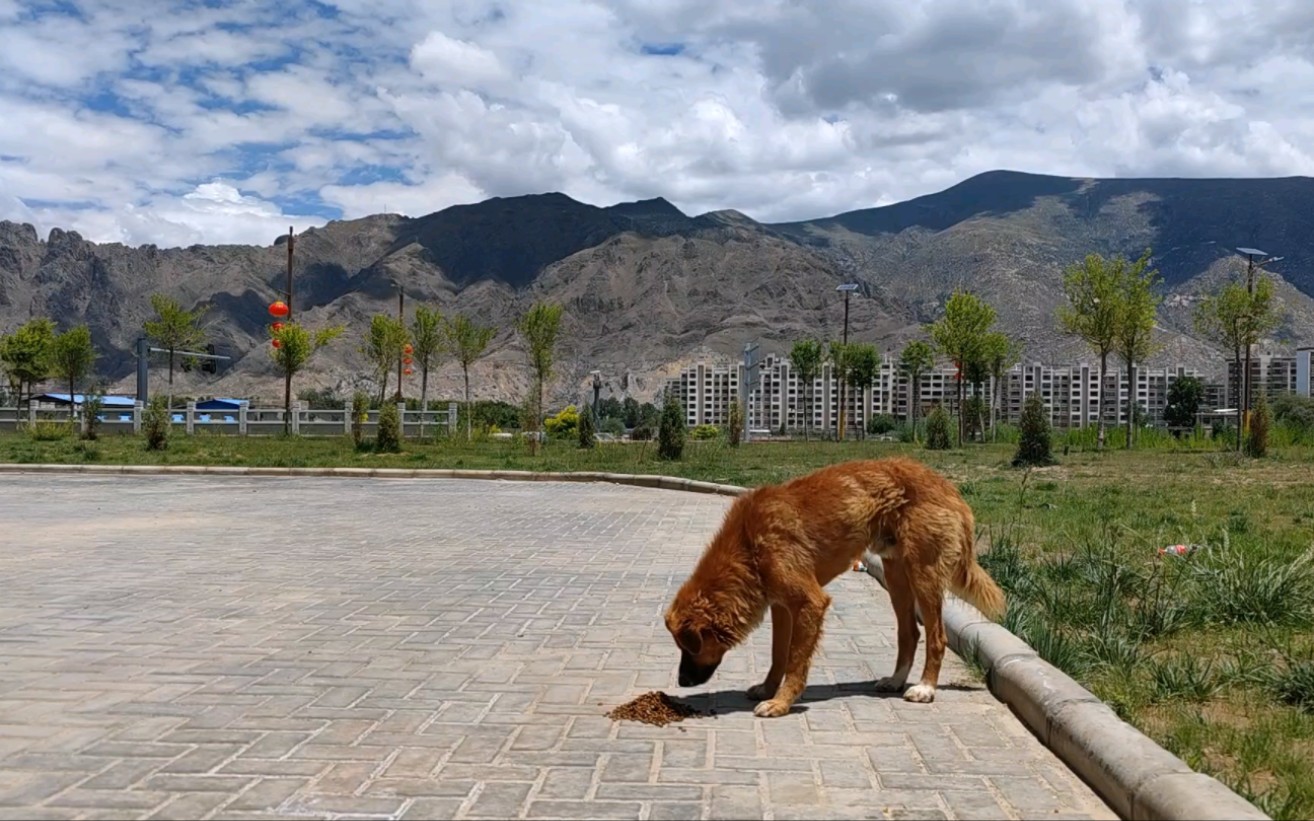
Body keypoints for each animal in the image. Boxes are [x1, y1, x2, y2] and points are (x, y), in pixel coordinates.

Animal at [667, 457, 1003, 714]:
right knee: (910, 633)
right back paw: (896, 680)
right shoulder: (782, 606)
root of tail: (946, 484)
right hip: (897, 579)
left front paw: (781, 703)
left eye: (688, 646)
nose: (681, 682)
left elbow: (796, 661)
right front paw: (768, 688)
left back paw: (925, 688)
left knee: (936, 636)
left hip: (924, 576)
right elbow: (779, 654)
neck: (749, 543)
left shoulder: (810, 603)